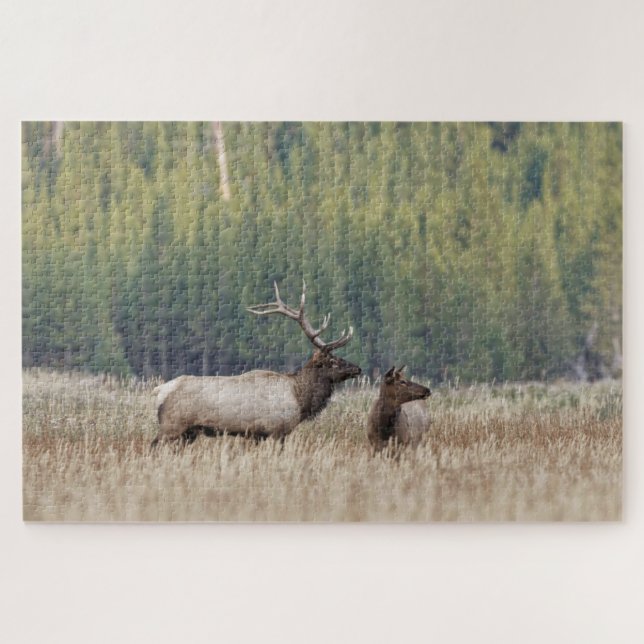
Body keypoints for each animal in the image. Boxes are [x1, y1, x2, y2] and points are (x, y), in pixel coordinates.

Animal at [150, 281, 361, 447]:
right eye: (333, 361)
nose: (357, 368)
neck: (299, 399)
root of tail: (159, 391)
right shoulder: (277, 430)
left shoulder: (256, 435)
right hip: (172, 425)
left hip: (189, 432)